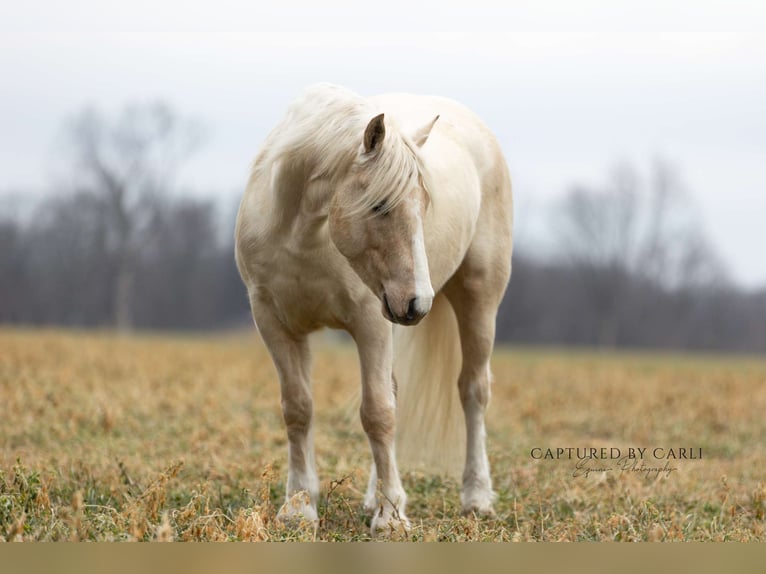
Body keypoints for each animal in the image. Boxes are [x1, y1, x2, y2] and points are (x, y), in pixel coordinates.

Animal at [234, 82, 516, 536]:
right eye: (380, 205)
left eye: (424, 206)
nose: (419, 302)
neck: (304, 233)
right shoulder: (275, 324)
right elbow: (298, 409)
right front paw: (299, 507)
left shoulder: (370, 324)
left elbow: (377, 414)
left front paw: (391, 518)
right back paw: (374, 496)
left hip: (479, 299)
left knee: (473, 391)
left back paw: (475, 497)